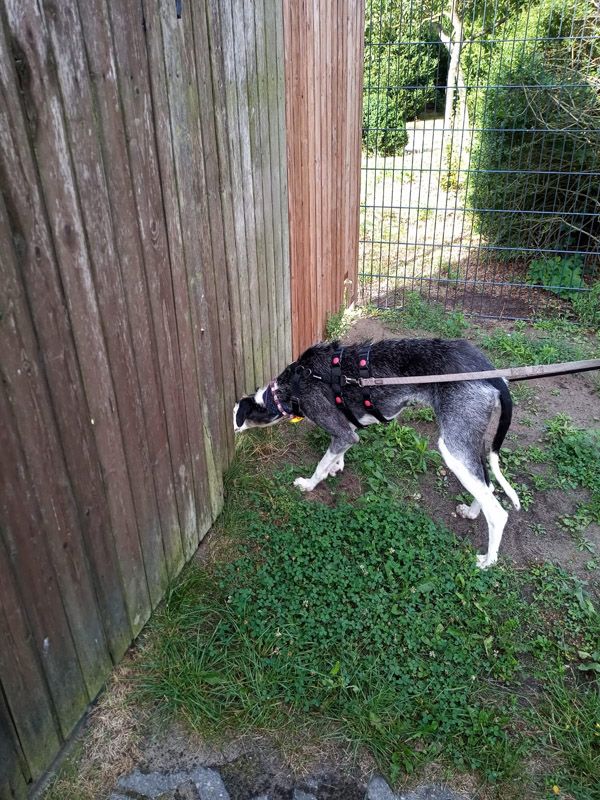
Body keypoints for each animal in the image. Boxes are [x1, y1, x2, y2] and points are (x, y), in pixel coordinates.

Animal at [234, 338, 520, 568]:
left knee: (498, 513)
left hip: (454, 449)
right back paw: (471, 513)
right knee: (487, 486)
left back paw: (487, 561)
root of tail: (494, 376)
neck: (289, 388)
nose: (233, 430)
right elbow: (338, 452)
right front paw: (337, 465)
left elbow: (320, 466)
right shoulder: (347, 429)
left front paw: (309, 484)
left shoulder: (341, 431)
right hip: (469, 441)